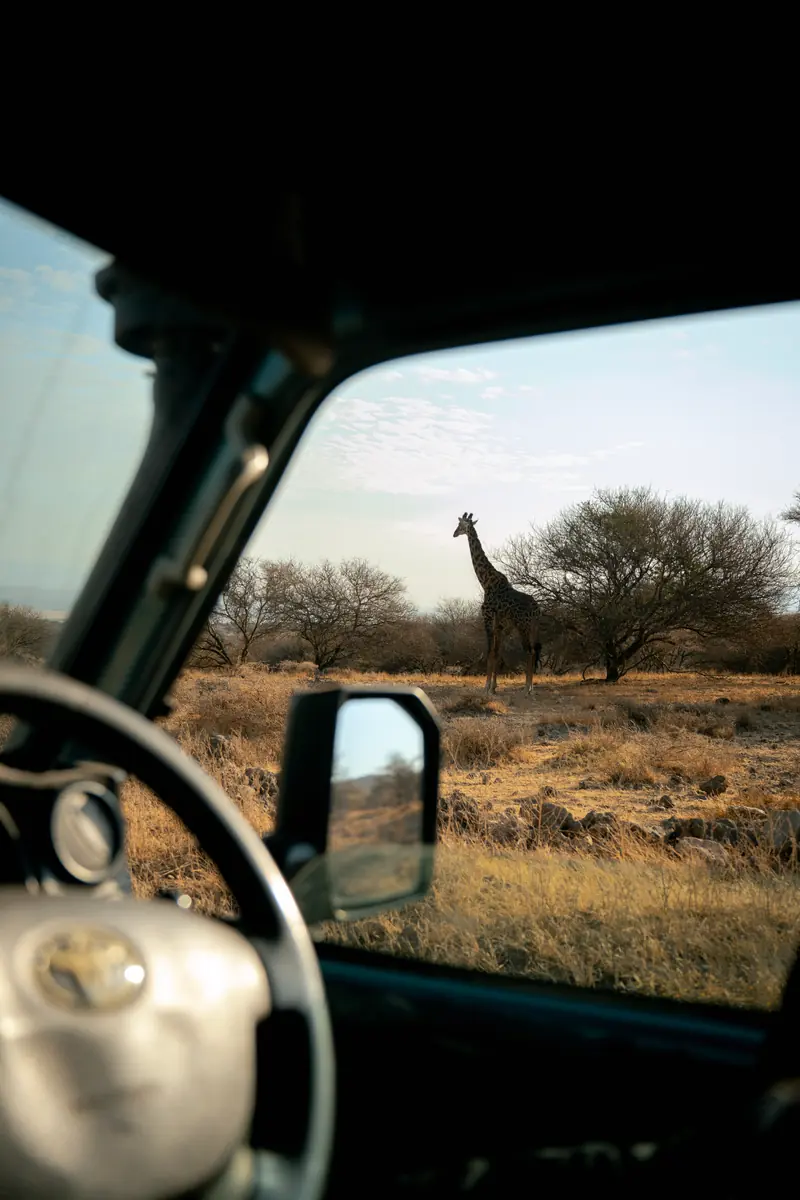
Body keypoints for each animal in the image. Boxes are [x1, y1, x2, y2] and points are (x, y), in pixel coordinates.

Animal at [453, 512, 542, 695]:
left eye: (461, 525)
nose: (454, 533)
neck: (486, 581)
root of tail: (537, 609)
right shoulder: (501, 624)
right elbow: (497, 652)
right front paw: (493, 687)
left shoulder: (487, 617)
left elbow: (489, 651)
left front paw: (486, 687)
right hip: (533, 627)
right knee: (533, 650)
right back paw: (530, 687)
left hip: (522, 626)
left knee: (529, 651)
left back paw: (527, 688)